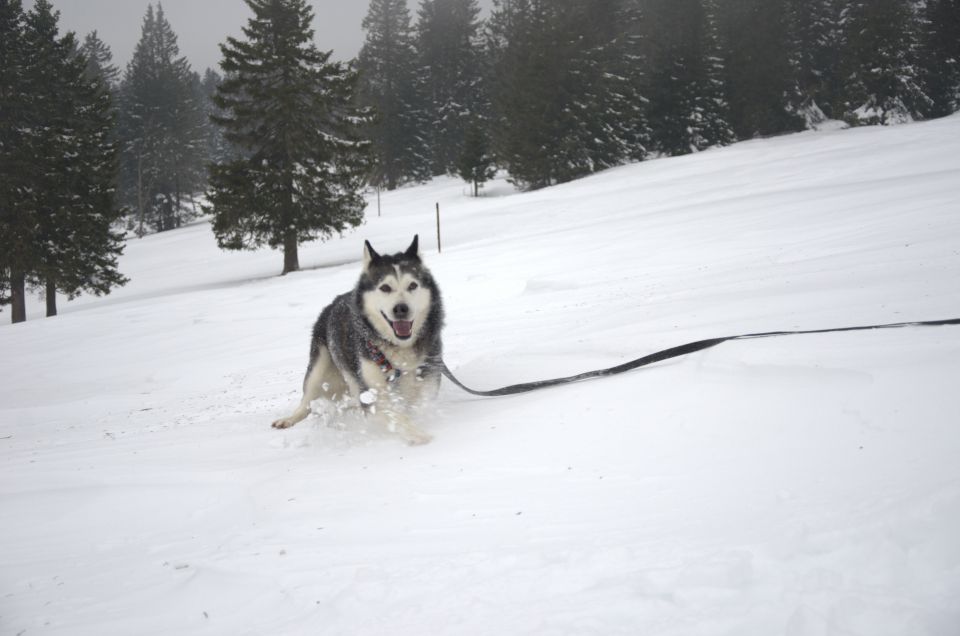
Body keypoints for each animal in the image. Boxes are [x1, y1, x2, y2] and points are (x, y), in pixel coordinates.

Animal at [272, 236, 444, 444]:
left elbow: (420, 404)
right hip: (319, 367)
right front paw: (419, 435)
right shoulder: (370, 390)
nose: (401, 309)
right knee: (307, 402)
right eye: (385, 287)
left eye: (412, 285)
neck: (398, 349)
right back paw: (289, 419)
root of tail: (333, 303)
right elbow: (396, 415)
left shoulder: (429, 375)